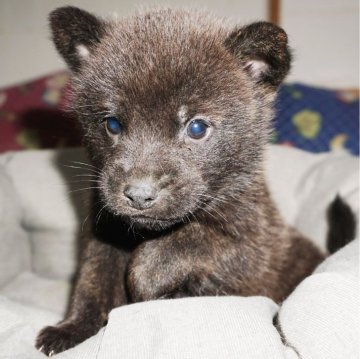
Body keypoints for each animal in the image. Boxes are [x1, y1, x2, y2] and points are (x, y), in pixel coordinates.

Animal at [36, 6, 326, 358]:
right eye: (113, 124)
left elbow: (189, 239)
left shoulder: (251, 247)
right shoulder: (102, 236)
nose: (139, 195)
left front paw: (145, 281)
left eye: (197, 128)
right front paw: (71, 331)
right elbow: (91, 284)